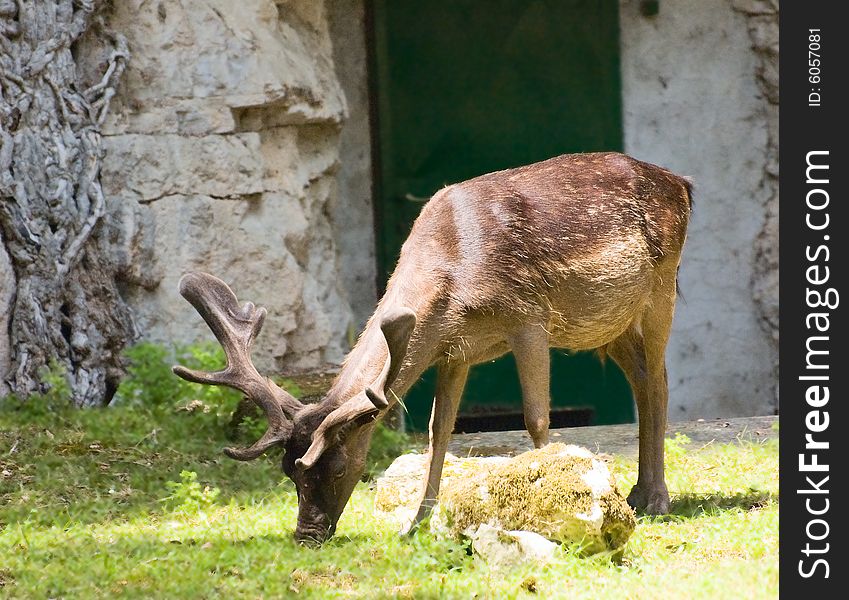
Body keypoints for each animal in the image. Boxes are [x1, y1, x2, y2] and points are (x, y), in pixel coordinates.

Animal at [171, 150, 688, 544]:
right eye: (289, 473)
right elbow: (440, 430)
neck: (455, 279)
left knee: (661, 381)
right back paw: (637, 493)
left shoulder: (529, 316)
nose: (307, 535)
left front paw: (550, 499)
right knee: (643, 379)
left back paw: (657, 499)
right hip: (609, 323)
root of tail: (681, 182)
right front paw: (416, 523)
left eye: (337, 469)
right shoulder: (454, 350)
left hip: (661, 285)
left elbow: (537, 418)